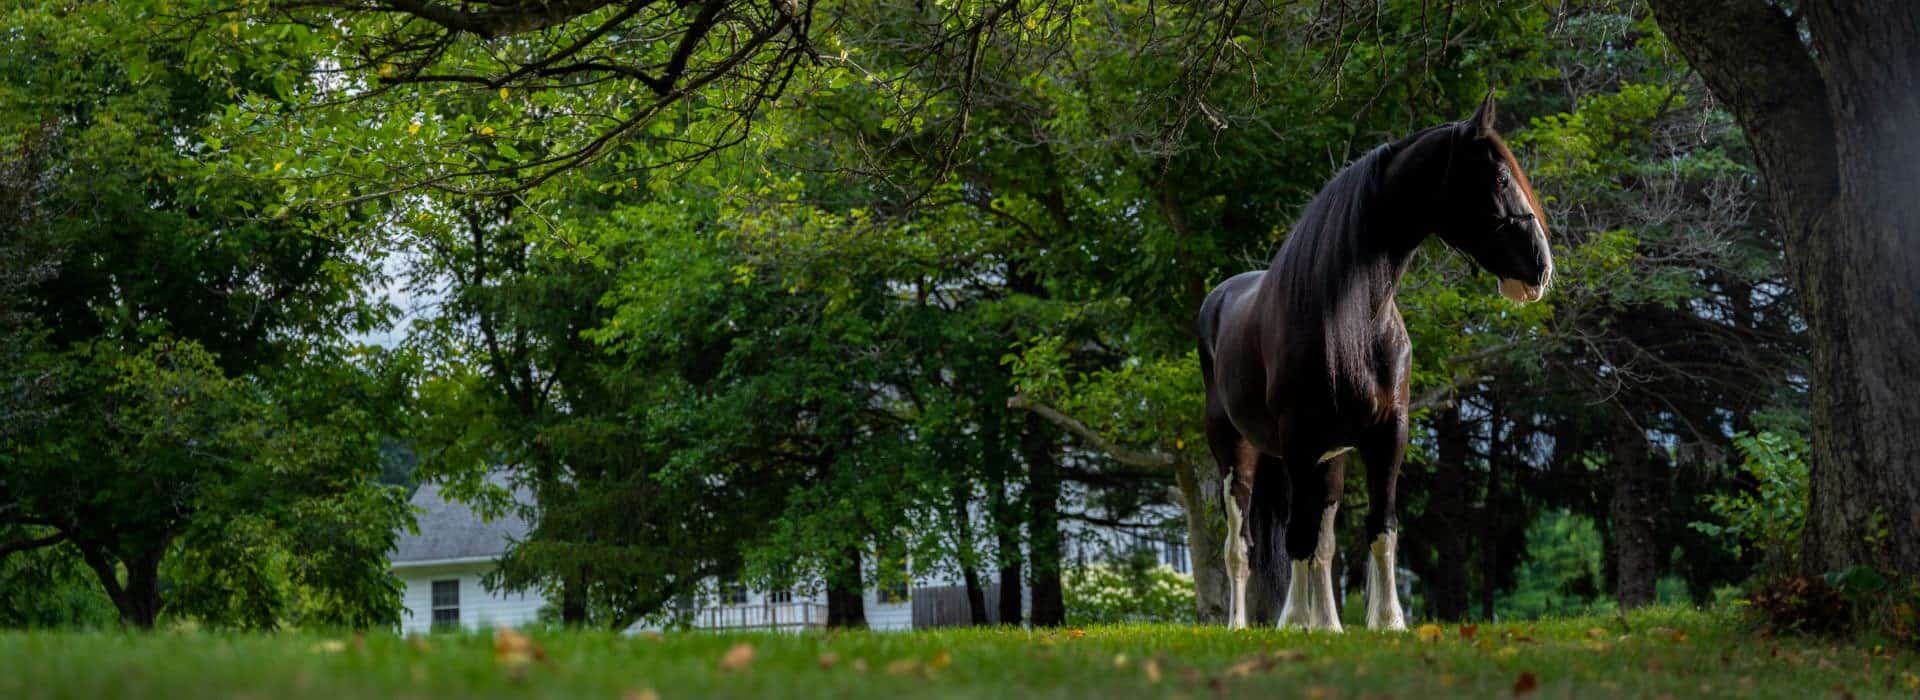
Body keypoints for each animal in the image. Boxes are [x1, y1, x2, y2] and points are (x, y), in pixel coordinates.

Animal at [1198, 92, 1559, 629]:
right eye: (1498, 178)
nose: (1541, 266)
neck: (1351, 319)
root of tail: (1218, 300)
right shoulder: (1300, 440)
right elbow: (1297, 539)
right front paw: (1308, 624)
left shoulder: (1387, 434)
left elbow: (1377, 528)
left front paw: (1385, 621)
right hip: (1237, 456)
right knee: (1242, 547)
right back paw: (1244, 624)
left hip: (1328, 460)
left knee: (1318, 542)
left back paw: (1315, 622)